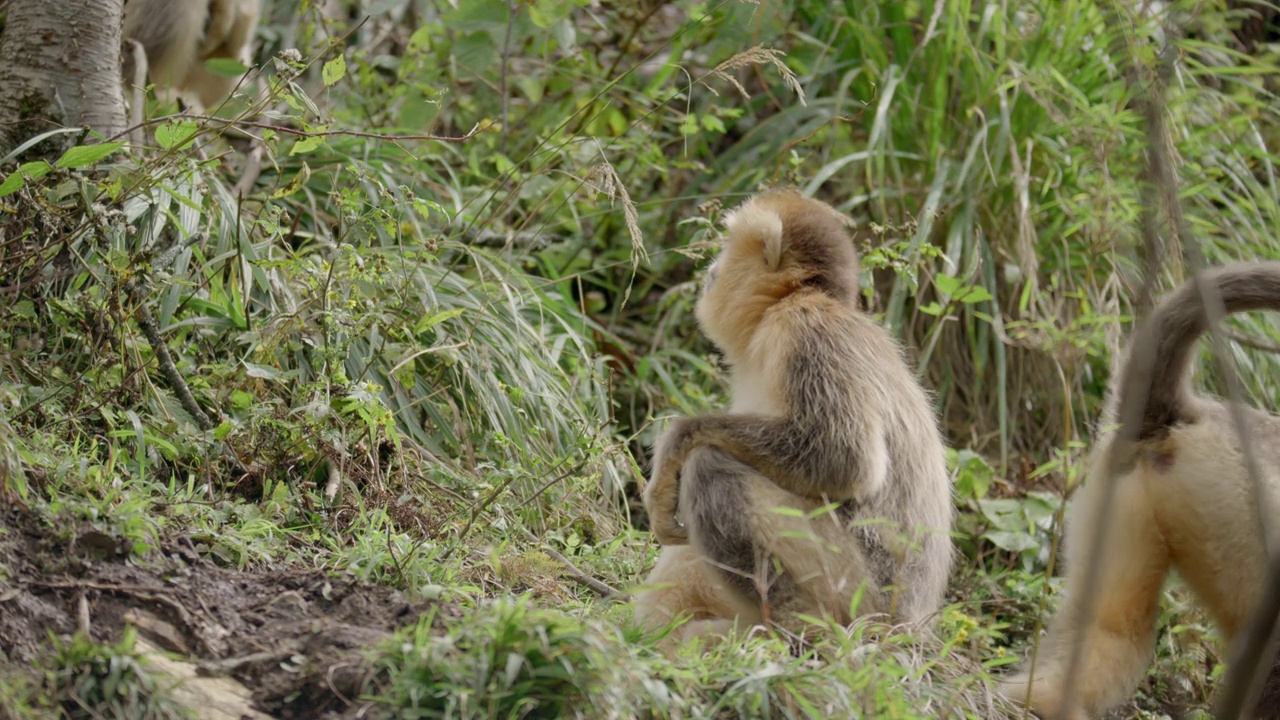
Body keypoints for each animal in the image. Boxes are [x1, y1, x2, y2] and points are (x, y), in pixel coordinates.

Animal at [634, 190, 957, 638]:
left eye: (727, 247)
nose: (712, 268)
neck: (790, 301)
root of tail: (911, 621)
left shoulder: (805, 329)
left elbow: (845, 459)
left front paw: (675, 446)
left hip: (854, 590)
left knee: (710, 467)